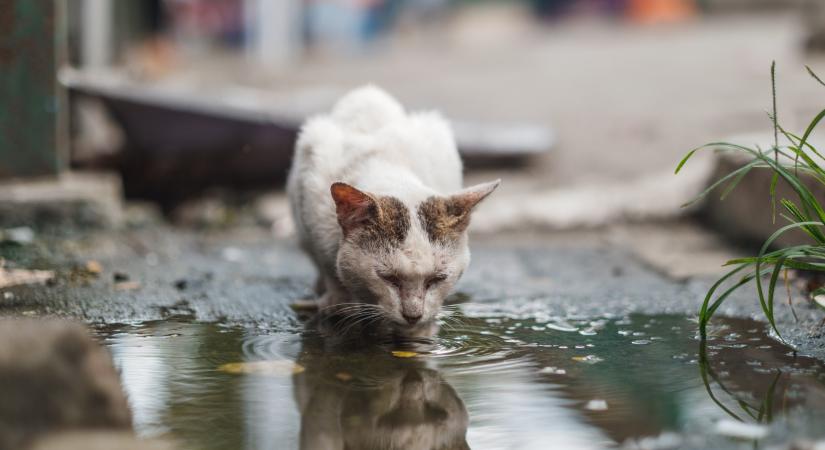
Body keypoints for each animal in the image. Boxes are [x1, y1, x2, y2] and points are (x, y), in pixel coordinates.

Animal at [286, 85, 498, 338]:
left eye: (437, 279)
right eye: (388, 278)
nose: (413, 316)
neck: (388, 165)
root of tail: (369, 91)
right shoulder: (310, 210)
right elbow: (328, 267)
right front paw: (337, 302)